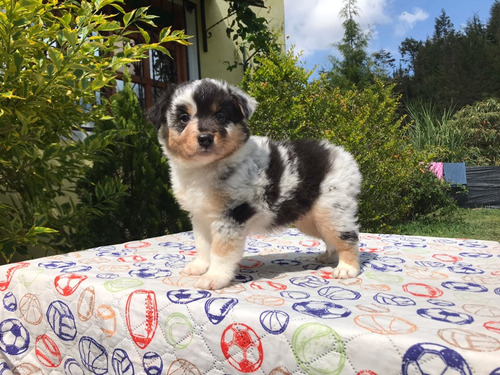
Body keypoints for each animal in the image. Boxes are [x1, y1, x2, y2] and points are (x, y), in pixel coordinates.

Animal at [146, 78, 362, 290]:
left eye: (221, 116)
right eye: (184, 118)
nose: (205, 138)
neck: (205, 168)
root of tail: (343, 154)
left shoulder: (233, 214)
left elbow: (221, 250)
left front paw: (214, 278)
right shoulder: (200, 216)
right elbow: (202, 245)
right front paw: (200, 267)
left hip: (332, 211)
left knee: (348, 237)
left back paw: (347, 269)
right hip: (310, 219)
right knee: (331, 238)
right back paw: (328, 257)